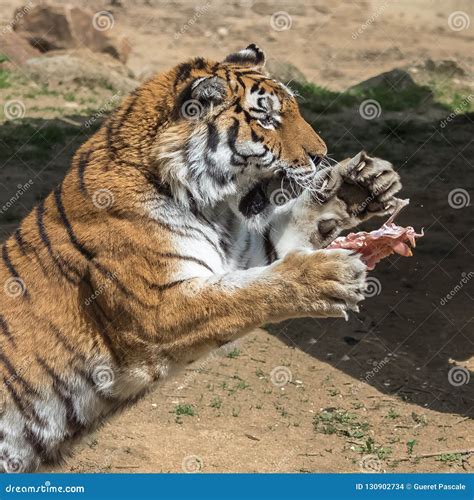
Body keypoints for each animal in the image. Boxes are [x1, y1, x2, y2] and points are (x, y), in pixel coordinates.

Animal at [0, 44, 400, 472]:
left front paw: (362, 183)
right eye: (268, 119)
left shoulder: (244, 254)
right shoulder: (158, 310)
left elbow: (291, 231)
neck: (212, 207)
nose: (320, 154)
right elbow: (250, 294)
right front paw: (326, 276)